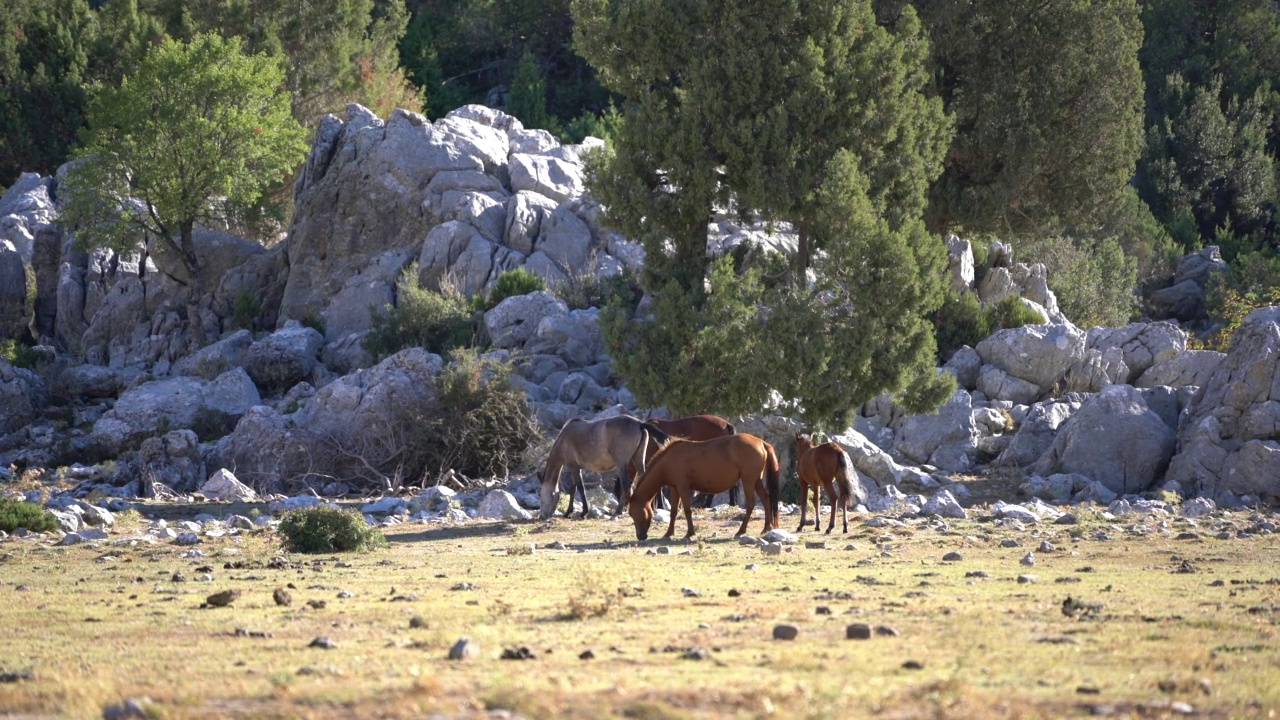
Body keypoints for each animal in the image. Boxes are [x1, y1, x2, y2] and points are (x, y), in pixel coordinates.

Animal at [535, 412, 670, 517]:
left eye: (541, 496)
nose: (542, 515)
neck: (564, 439)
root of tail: (639, 423)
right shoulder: (576, 468)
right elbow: (574, 489)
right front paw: (569, 512)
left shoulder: (573, 467)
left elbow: (579, 488)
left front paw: (583, 512)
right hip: (638, 459)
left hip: (622, 464)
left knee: (626, 484)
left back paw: (618, 511)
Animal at [622, 430, 778, 538]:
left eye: (633, 513)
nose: (641, 537)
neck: (669, 460)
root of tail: (761, 442)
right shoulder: (674, 488)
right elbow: (673, 511)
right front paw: (669, 533)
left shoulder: (683, 488)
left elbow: (687, 510)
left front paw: (690, 533)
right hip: (756, 481)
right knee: (766, 500)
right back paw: (766, 528)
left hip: (748, 481)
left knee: (751, 504)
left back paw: (741, 531)